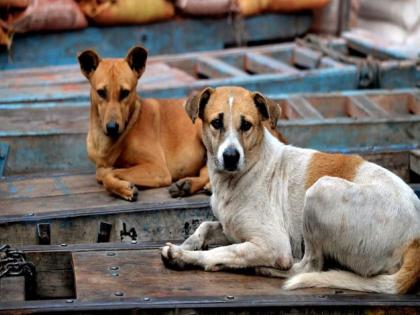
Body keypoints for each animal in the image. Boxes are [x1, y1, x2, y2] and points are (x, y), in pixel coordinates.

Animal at [77, 45, 210, 201]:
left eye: (125, 93)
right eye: (101, 92)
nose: (112, 127)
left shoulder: (158, 168)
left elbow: (108, 175)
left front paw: (123, 188)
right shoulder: (102, 164)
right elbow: (102, 173)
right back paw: (188, 185)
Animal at [162, 86, 420, 294]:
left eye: (246, 125)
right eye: (216, 123)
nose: (231, 157)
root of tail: (415, 239)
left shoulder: (273, 244)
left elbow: (223, 251)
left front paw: (184, 256)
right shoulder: (232, 228)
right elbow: (205, 226)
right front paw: (189, 244)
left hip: (320, 191)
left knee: (308, 267)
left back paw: (263, 268)